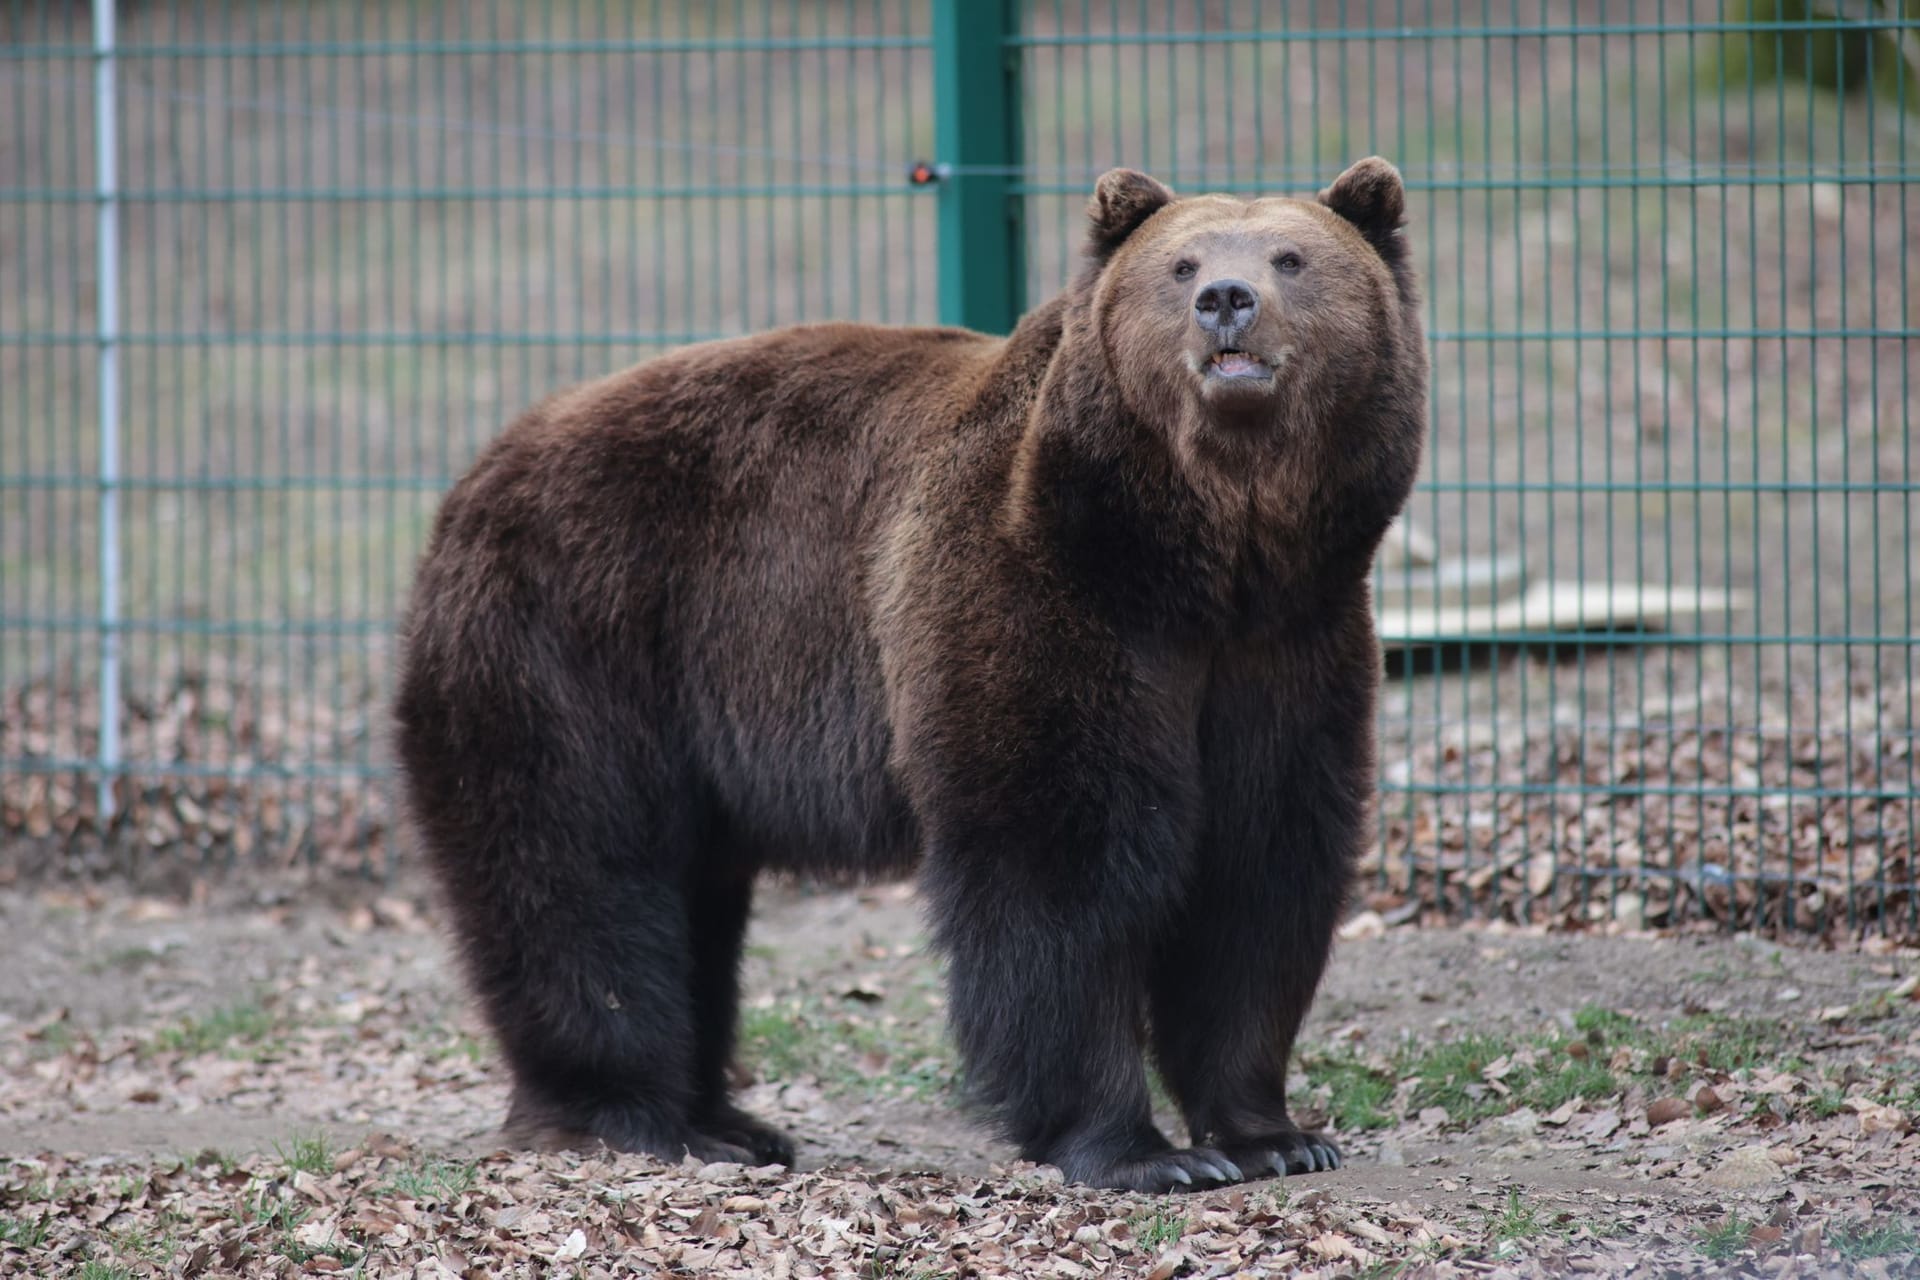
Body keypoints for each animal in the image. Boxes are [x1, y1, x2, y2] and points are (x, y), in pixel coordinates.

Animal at [393, 157, 1428, 1189]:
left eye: (1290, 257)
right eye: (1180, 265)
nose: (1225, 300)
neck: (1196, 558)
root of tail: (480, 470)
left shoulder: (1288, 647)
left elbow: (1262, 869)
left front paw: (1275, 1134)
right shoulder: (1036, 595)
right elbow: (1058, 865)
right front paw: (1140, 1152)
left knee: (695, 899)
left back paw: (730, 1121)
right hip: (580, 636)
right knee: (579, 867)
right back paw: (633, 1116)